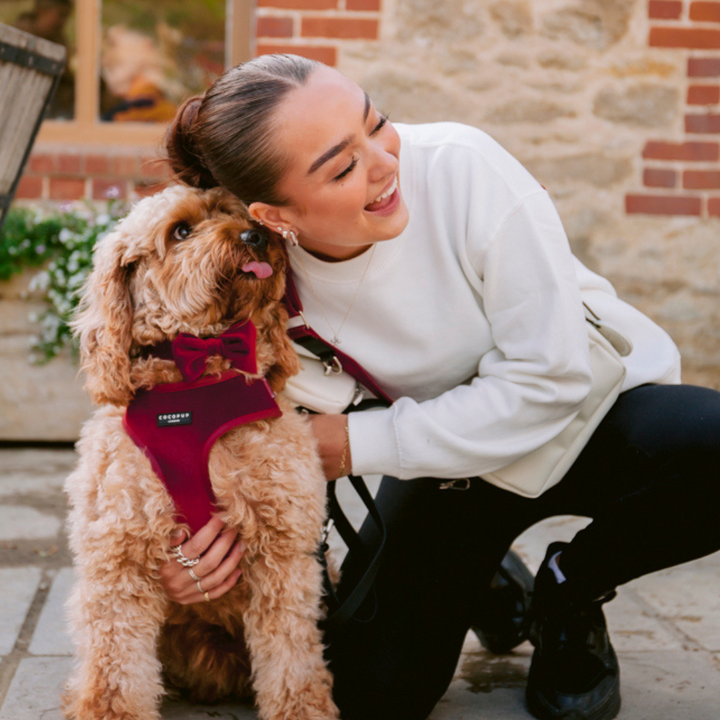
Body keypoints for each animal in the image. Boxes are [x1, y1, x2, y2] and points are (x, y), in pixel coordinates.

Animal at [61, 184, 338, 720]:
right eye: (181, 231)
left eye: (236, 213)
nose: (255, 236)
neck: (197, 375)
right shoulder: (117, 555)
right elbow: (114, 665)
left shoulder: (282, 551)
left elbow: (291, 654)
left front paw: (302, 707)